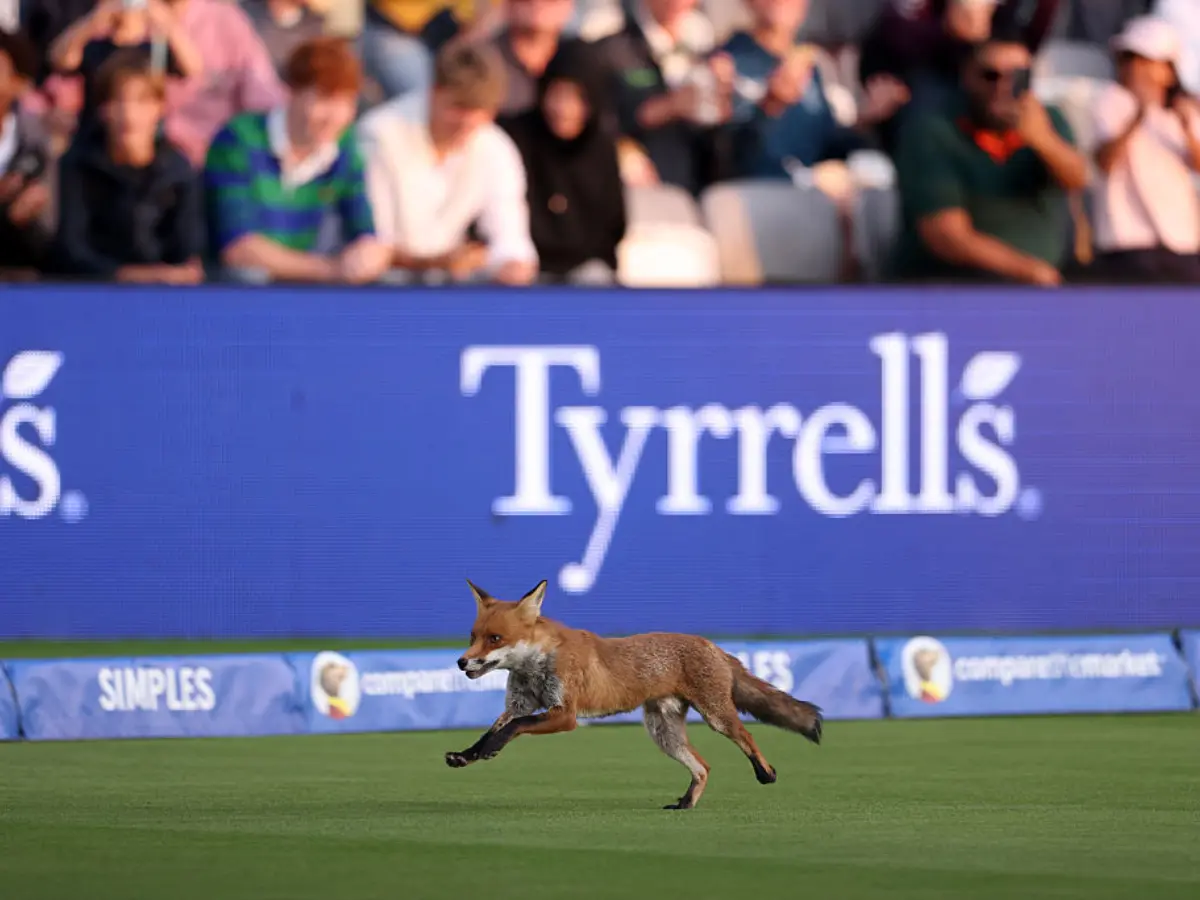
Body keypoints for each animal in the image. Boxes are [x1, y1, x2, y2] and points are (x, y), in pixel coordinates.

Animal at [445, 579, 823, 810]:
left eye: (495, 638)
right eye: (473, 636)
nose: (461, 662)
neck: (536, 665)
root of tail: (712, 644)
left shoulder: (564, 714)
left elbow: (514, 729)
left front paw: (490, 750)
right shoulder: (519, 704)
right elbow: (492, 731)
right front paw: (467, 755)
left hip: (716, 717)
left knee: (746, 736)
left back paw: (766, 772)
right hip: (663, 733)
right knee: (703, 767)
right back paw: (685, 804)